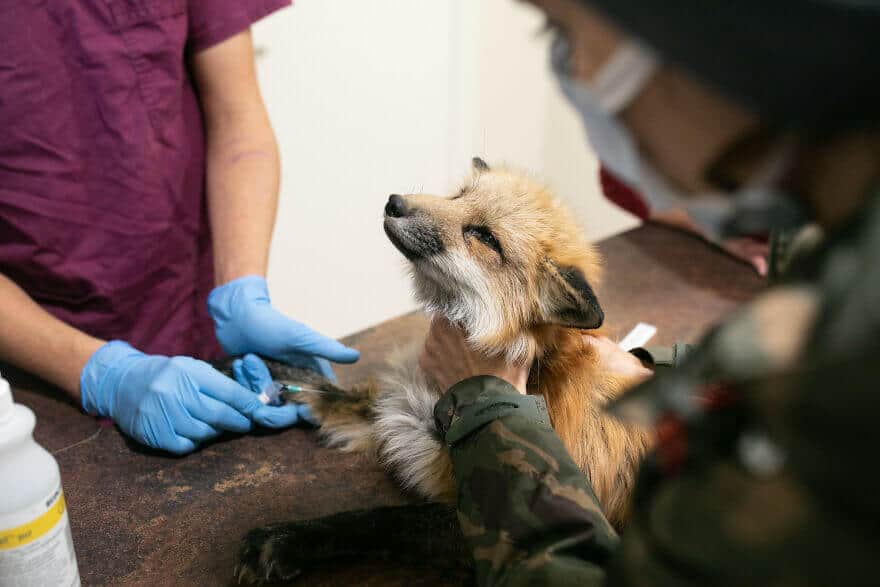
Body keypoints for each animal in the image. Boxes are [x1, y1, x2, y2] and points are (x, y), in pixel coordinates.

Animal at [237, 158, 648, 584]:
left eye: (484, 236)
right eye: (459, 196)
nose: (395, 202)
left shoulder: (482, 526)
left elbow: (381, 520)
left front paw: (288, 539)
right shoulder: (399, 410)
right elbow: (326, 390)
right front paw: (262, 361)